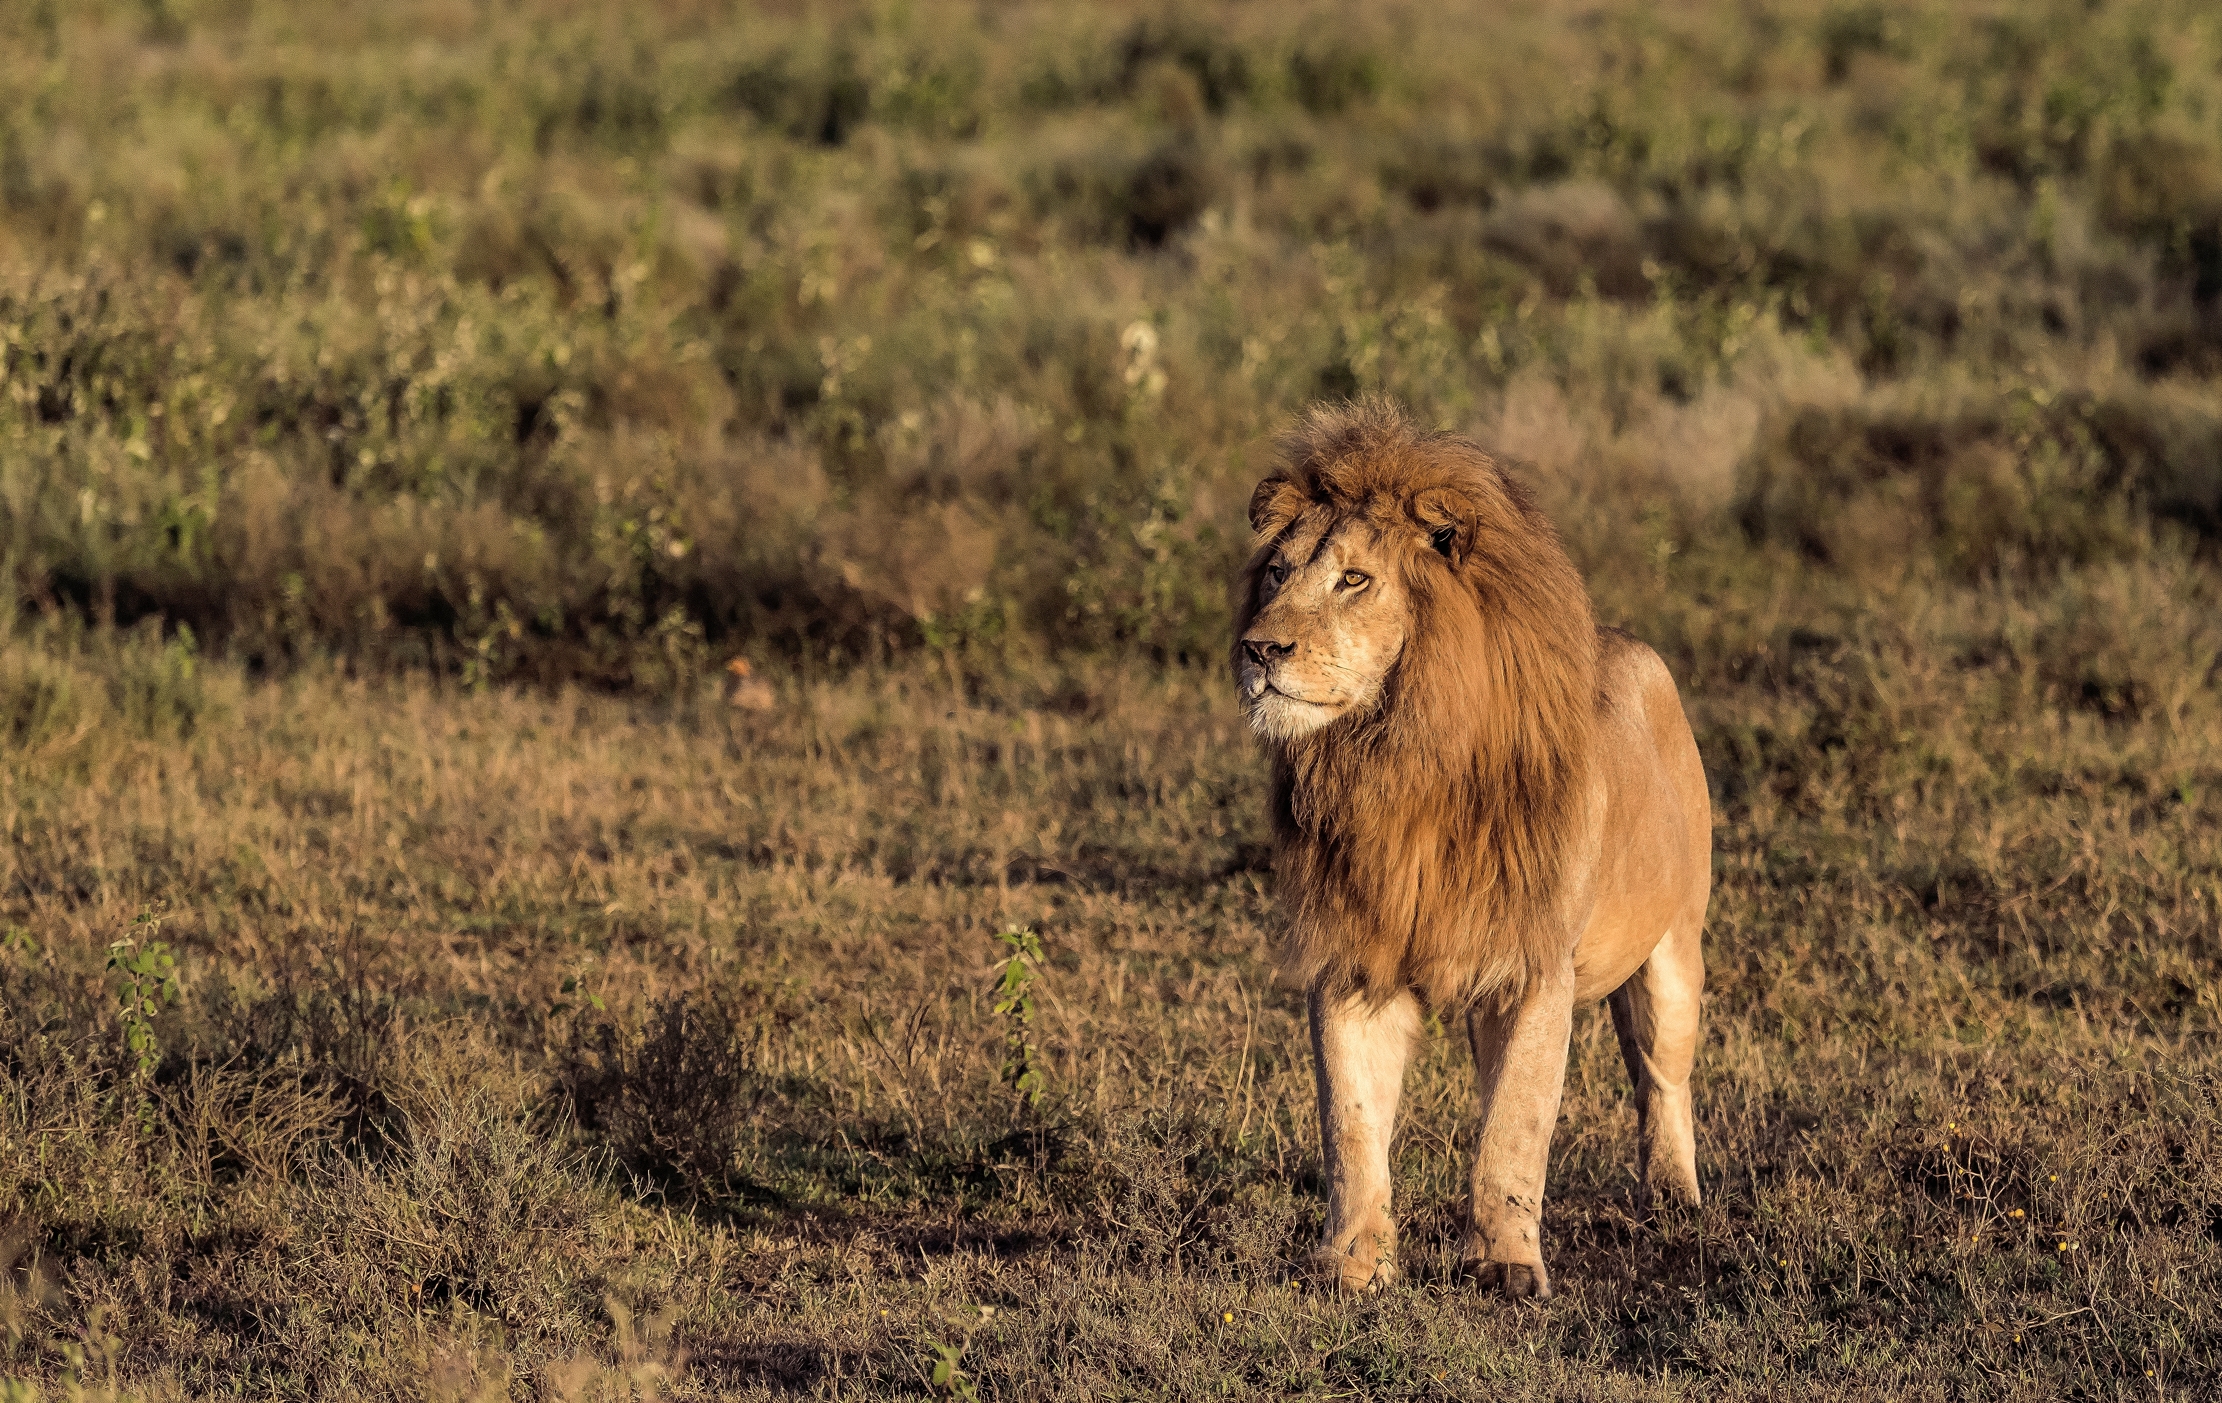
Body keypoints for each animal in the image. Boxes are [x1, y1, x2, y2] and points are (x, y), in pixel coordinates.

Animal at [1234, 399, 1710, 1299]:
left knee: (1662, 1076)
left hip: (1675, 949)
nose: (1258, 650)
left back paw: (1675, 1198)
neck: (1393, 764)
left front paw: (1507, 1266)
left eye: (1354, 579)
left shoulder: (1534, 968)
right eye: (1276, 573)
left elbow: (1513, 1129)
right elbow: (1350, 1127)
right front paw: (1353, 1265)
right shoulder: (1354, 957)